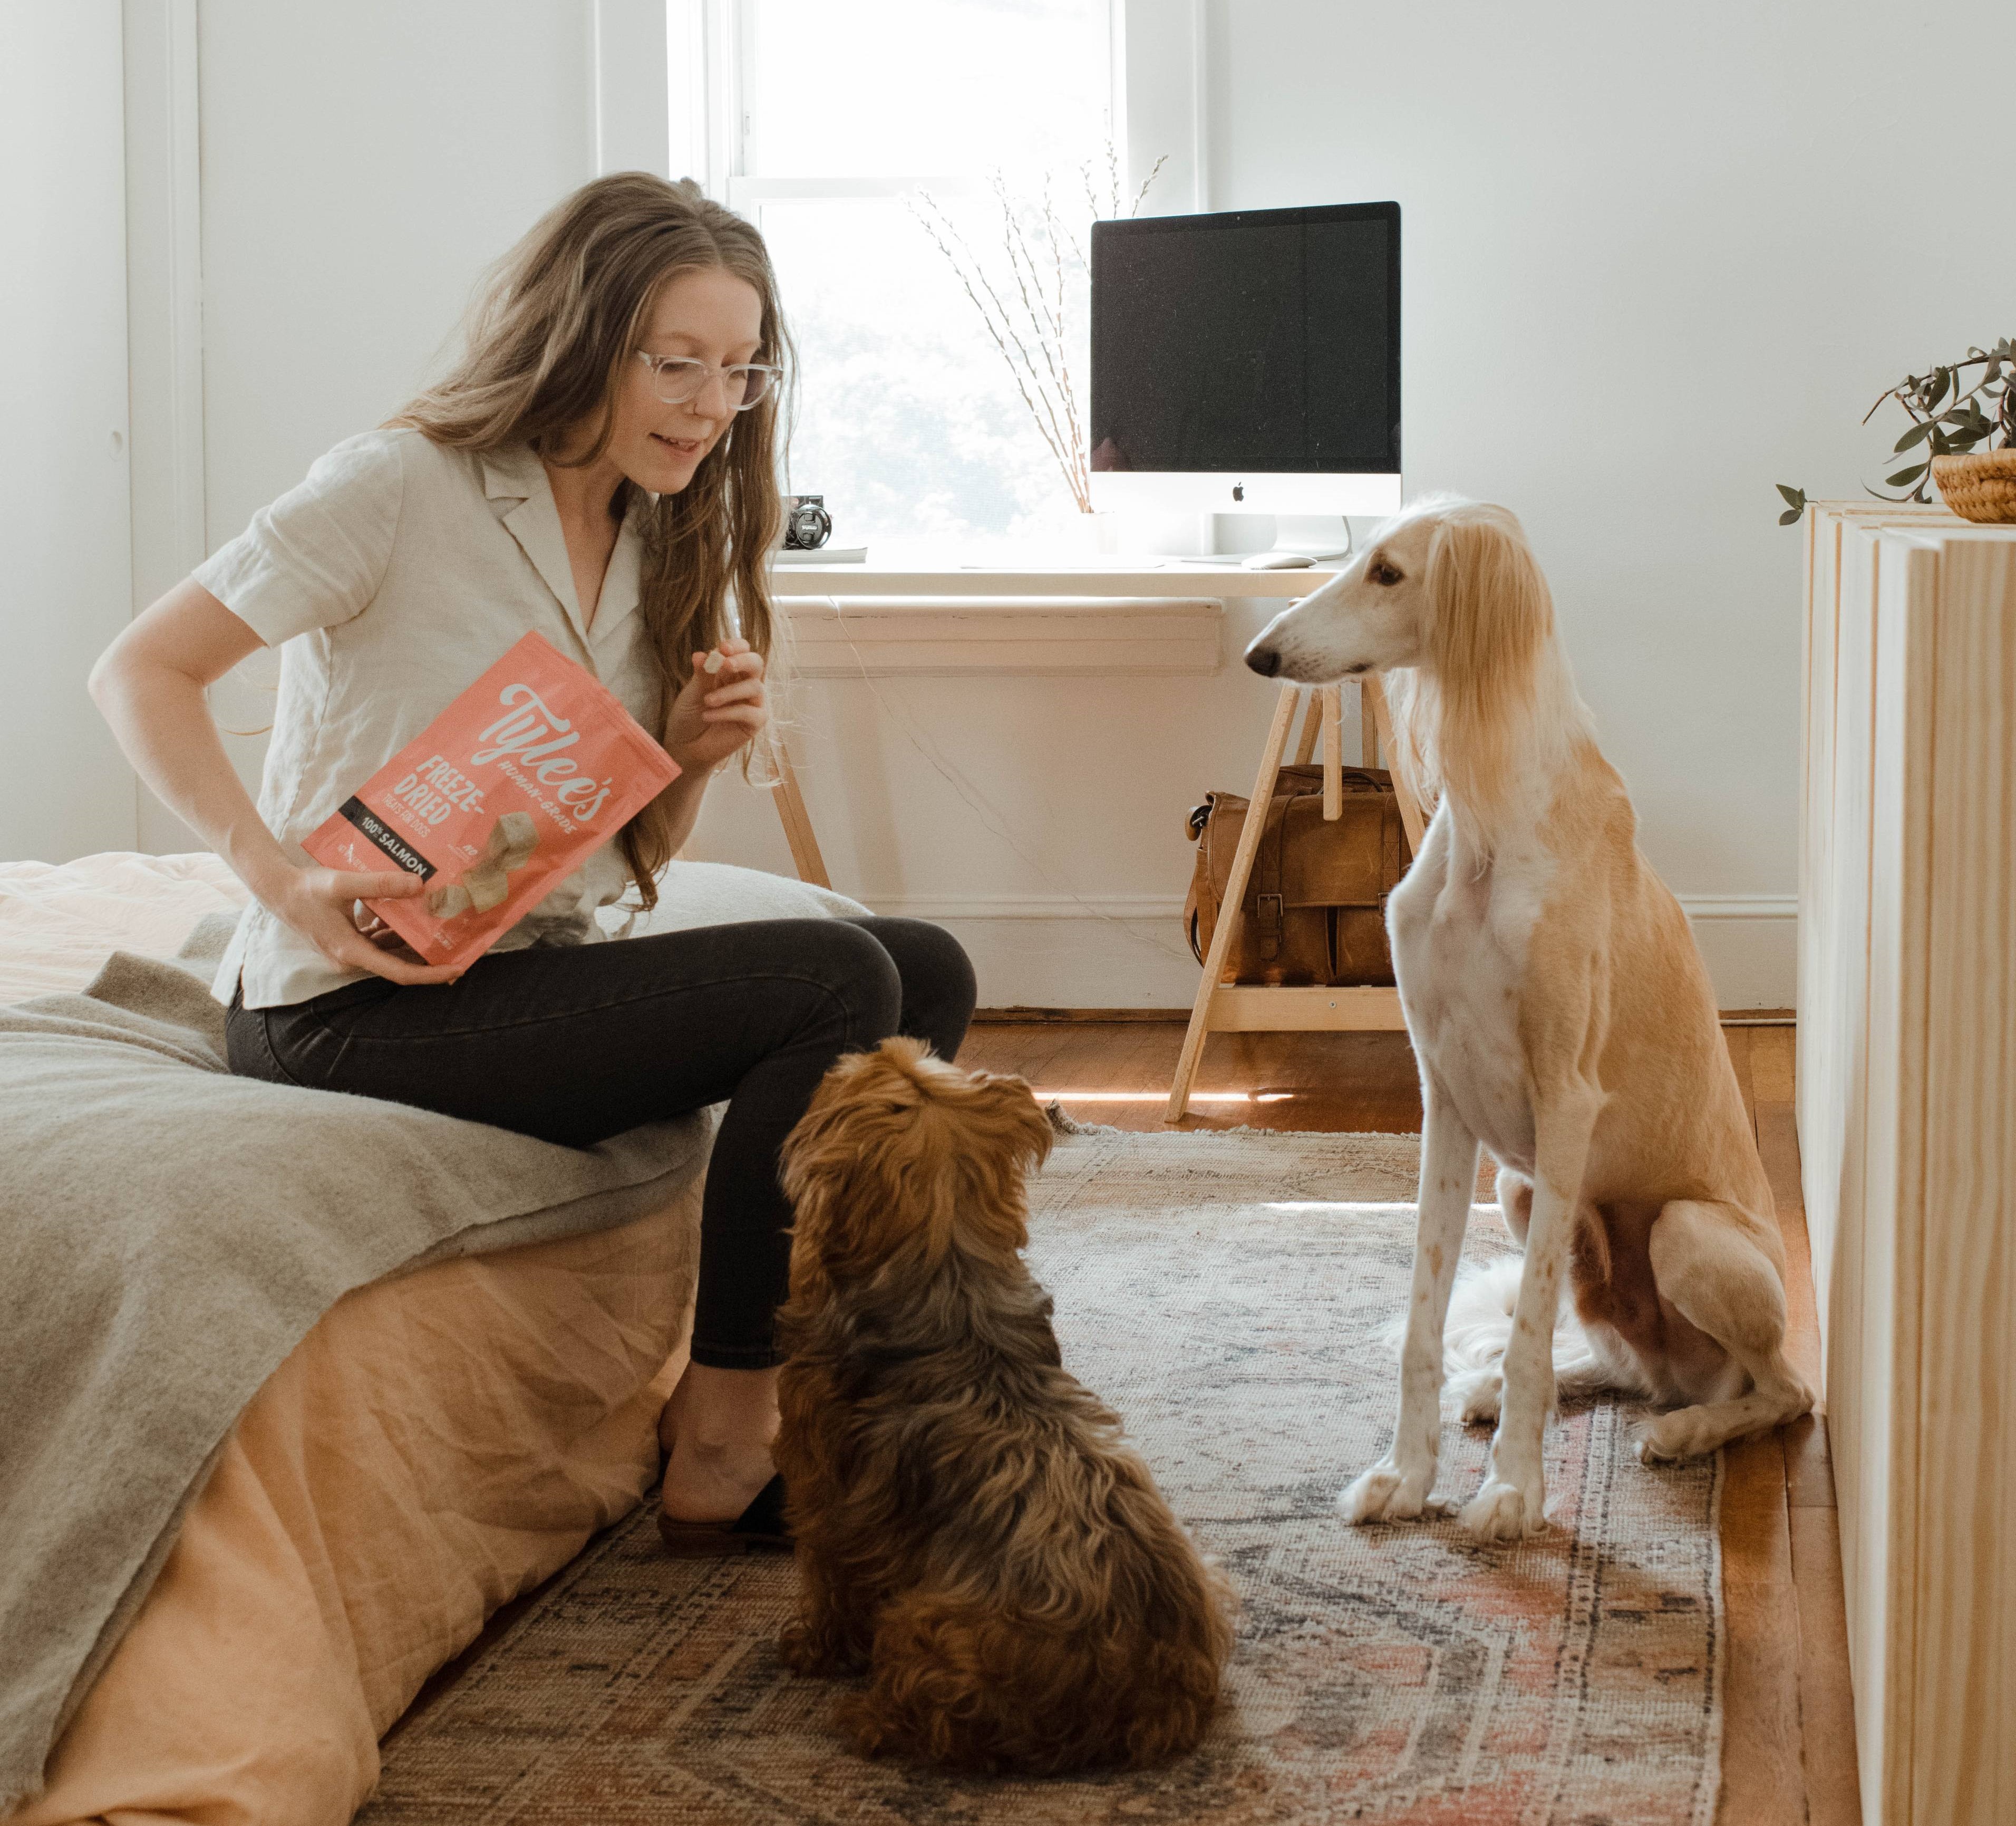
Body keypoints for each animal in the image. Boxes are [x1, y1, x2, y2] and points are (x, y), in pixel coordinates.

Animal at [1249, 494, 1822, 1540]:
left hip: (1687, 1233)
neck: (1488, 827)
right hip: (1517, 1194)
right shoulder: (1444, 1099)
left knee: (1781, 1390)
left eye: (1388, 573)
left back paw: (1686, 1430)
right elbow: (1431, 1314)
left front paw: (1511, 1490)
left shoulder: (1564, 1102)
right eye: (1357, 558)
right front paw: (1405, 1474)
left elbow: (1521, 1332)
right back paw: (1532, 1387)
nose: (1260, 655)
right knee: (1617, 1359)